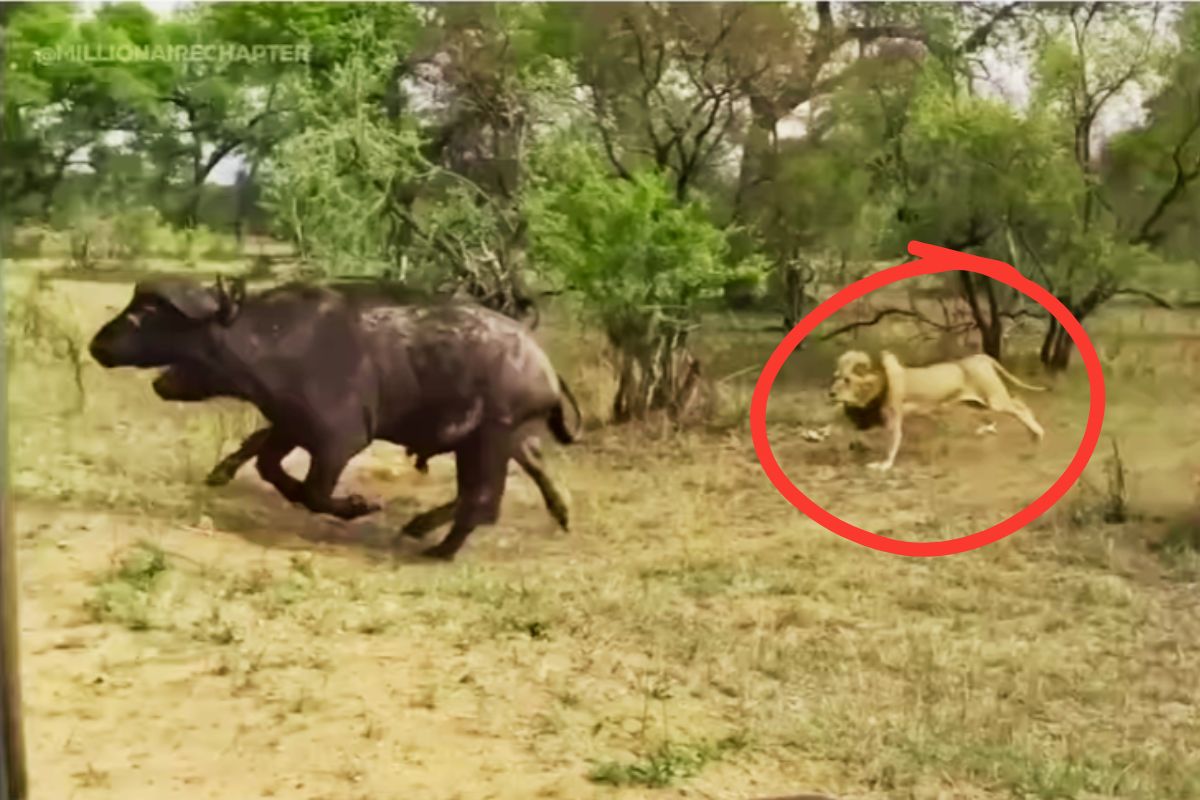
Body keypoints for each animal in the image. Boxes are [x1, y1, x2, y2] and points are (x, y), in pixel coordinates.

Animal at [89, 276, 581, 560]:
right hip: (492, 441)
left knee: (483, 501)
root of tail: (543, 364)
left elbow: (313, 491)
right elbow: (270, 467)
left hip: (489, 440)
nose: (98, 345)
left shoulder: (339, 441)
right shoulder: (289, 427)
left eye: (148, 312)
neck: (275, 339)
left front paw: (357, 506)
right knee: (512, 476)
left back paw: (438, 548)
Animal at [828, 349, 1046, 472]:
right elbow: (848, 429)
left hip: (994, 399)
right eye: (836, 376)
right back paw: (1034, 436)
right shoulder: (869, 418)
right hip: (979, 403)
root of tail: (981, 357)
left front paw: (884, 465)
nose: (831, 393)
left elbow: (892, 443)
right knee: (1020, 403)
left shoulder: (893, 417)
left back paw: (1038, 433)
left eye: (847, 379)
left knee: (1019, 406)